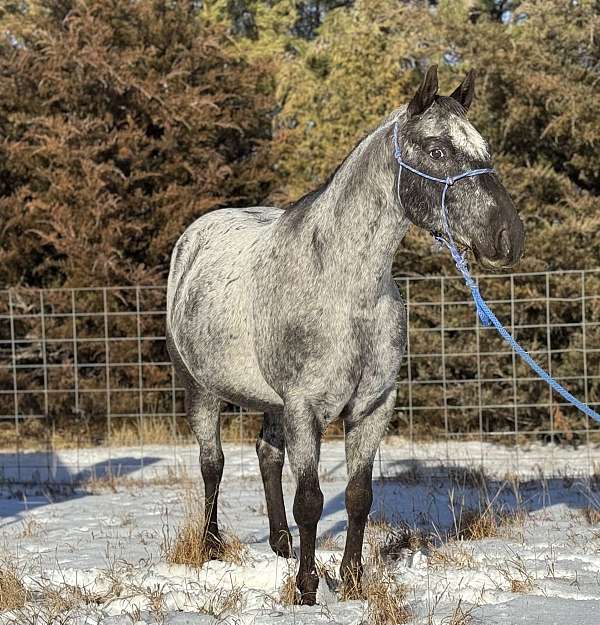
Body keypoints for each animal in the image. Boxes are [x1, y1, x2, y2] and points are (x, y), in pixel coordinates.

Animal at [166, 64, 524, 604]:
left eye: (484, 148)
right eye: (438, 151)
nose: (508, 237)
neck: (344, 288)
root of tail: (193, 236)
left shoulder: (372, 408)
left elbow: (358, 495)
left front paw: (352, 581)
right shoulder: (305, 408)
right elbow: (311, 500)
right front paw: (307, 588)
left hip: (272, 402)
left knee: (267, 456)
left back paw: (280, 547)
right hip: (203, 390)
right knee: (213, 463)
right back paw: (210, 550)